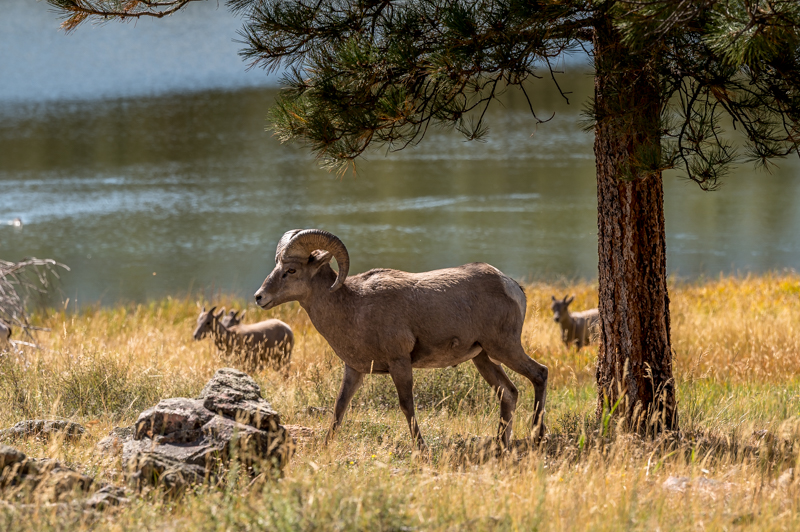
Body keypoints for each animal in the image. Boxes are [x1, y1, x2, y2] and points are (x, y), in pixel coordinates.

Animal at [253, 228, 548, 448]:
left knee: (539, 374)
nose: (259, 297)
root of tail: (511, 285)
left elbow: (407, 406)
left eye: (291, 270)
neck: (353, 307)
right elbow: (339, 407)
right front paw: (326, 446)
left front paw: (421, 448)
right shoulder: (354, 370)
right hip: (483, 358)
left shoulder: (400, 363)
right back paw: (501, 444)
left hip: (504, 348)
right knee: (508, 393)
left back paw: (537, 435)